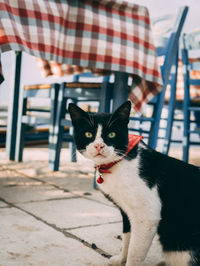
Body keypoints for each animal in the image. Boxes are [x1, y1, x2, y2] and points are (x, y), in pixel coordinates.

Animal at [69, 100, 200, 266]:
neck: (117, 164)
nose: (99, 146)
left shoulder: (147, 216)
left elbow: (135, 252)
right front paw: (121, 259)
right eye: (88, 134)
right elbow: (127, 238)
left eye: (112, 134)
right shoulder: (126, 211)